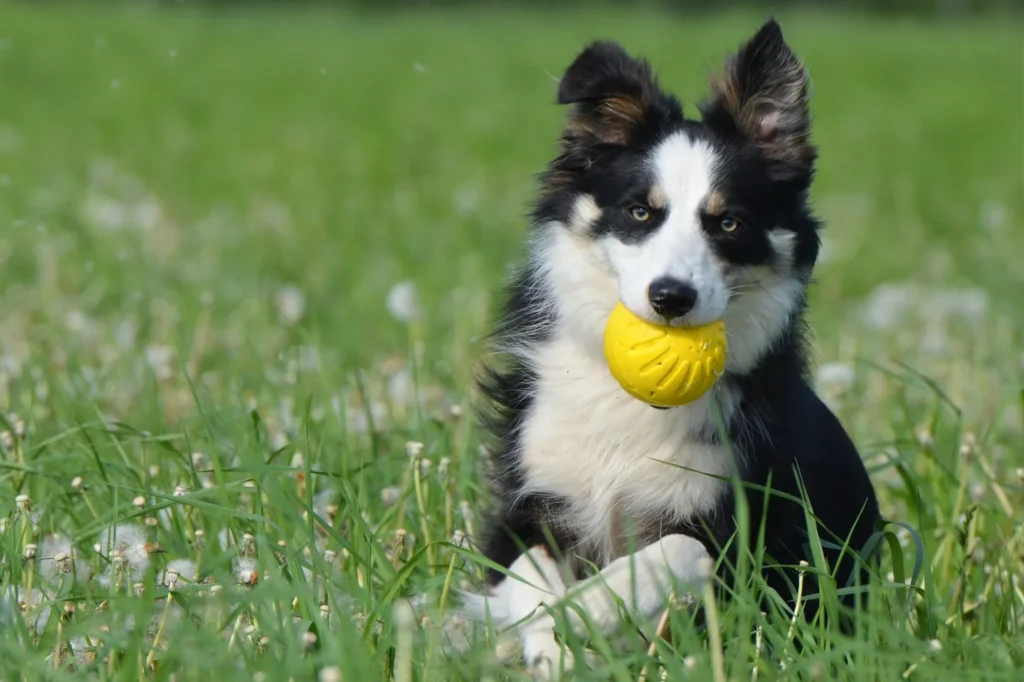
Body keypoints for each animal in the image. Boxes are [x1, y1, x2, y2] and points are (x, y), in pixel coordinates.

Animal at [462, 18, 880, 675]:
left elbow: (676, 552)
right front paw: (548, 638)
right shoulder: (529, 501)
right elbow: (526, 575)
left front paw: (590, 607)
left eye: (729, 223)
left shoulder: (738, 532)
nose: (670, 297)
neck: (629, 403)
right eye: (640, 212)